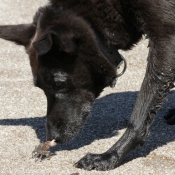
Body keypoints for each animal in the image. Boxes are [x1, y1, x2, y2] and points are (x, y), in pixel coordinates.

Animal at [0, 0, 175, 171]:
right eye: (40, 88)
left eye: (59, 83)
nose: (52, 137)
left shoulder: (166, 38)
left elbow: (140, 114)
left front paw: (109, 157)